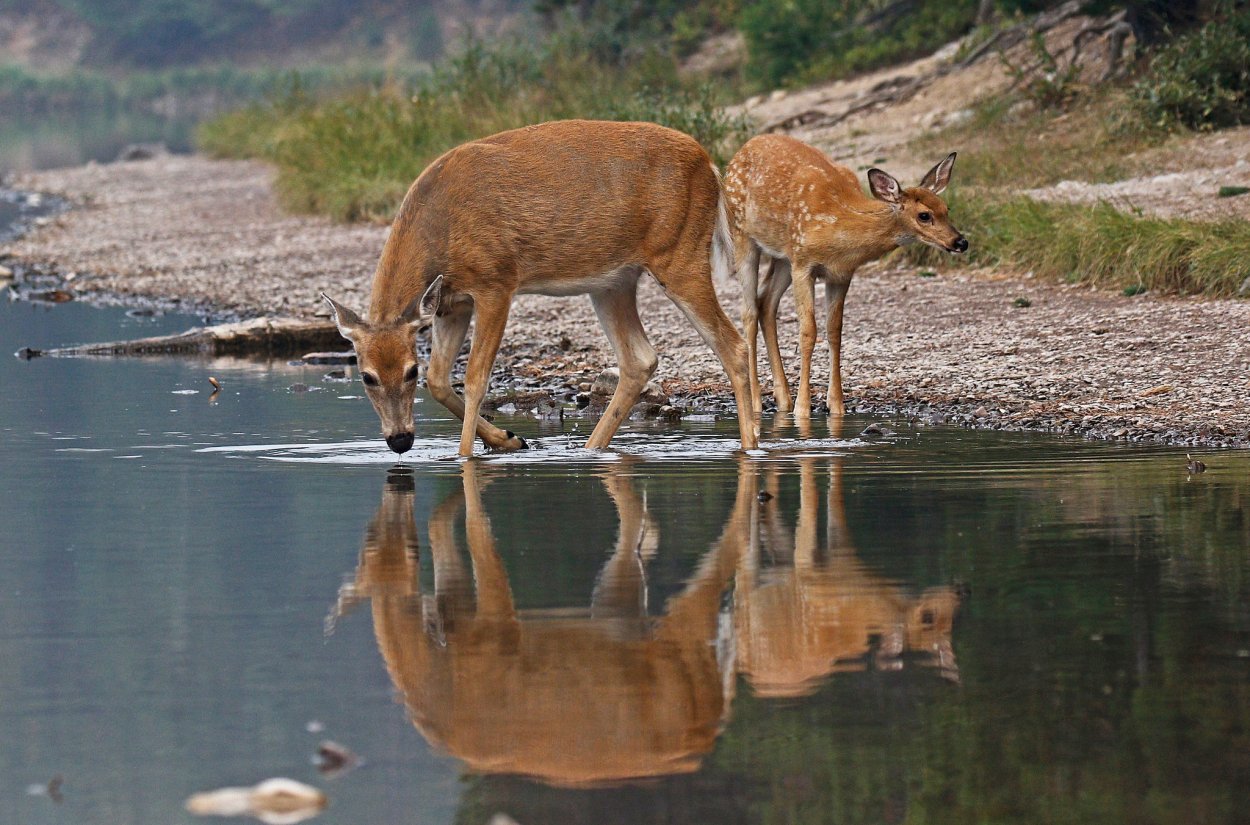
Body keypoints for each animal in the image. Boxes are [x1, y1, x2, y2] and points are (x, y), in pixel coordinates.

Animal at [320, 120, 759, 457]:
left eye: (409, 370)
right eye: (367, 376)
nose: (400, 440)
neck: (440, 227)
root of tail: (710, 166)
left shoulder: (496, 281)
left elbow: (476, 377)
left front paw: (465, 457)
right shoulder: (451, 303)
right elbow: (442, 379)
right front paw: (510, 439)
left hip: (679, 255)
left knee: (732, 344)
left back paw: (750, 446)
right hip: (613, 281)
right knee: (640, 358)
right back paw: (589, 449)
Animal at [723, 134, 967, 419]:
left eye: (946, 208)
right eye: (924, 215)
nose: (960, 242)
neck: (840, 225)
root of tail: (742, 150)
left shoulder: (840, 274)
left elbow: (835, 331)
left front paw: (836, 406)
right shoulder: (803, 263)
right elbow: (808, 331)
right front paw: (803, 409)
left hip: (782, 257)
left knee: (766, 303)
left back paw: (782, 399)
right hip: (743, 235)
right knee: (748, 311)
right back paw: (756, 401)